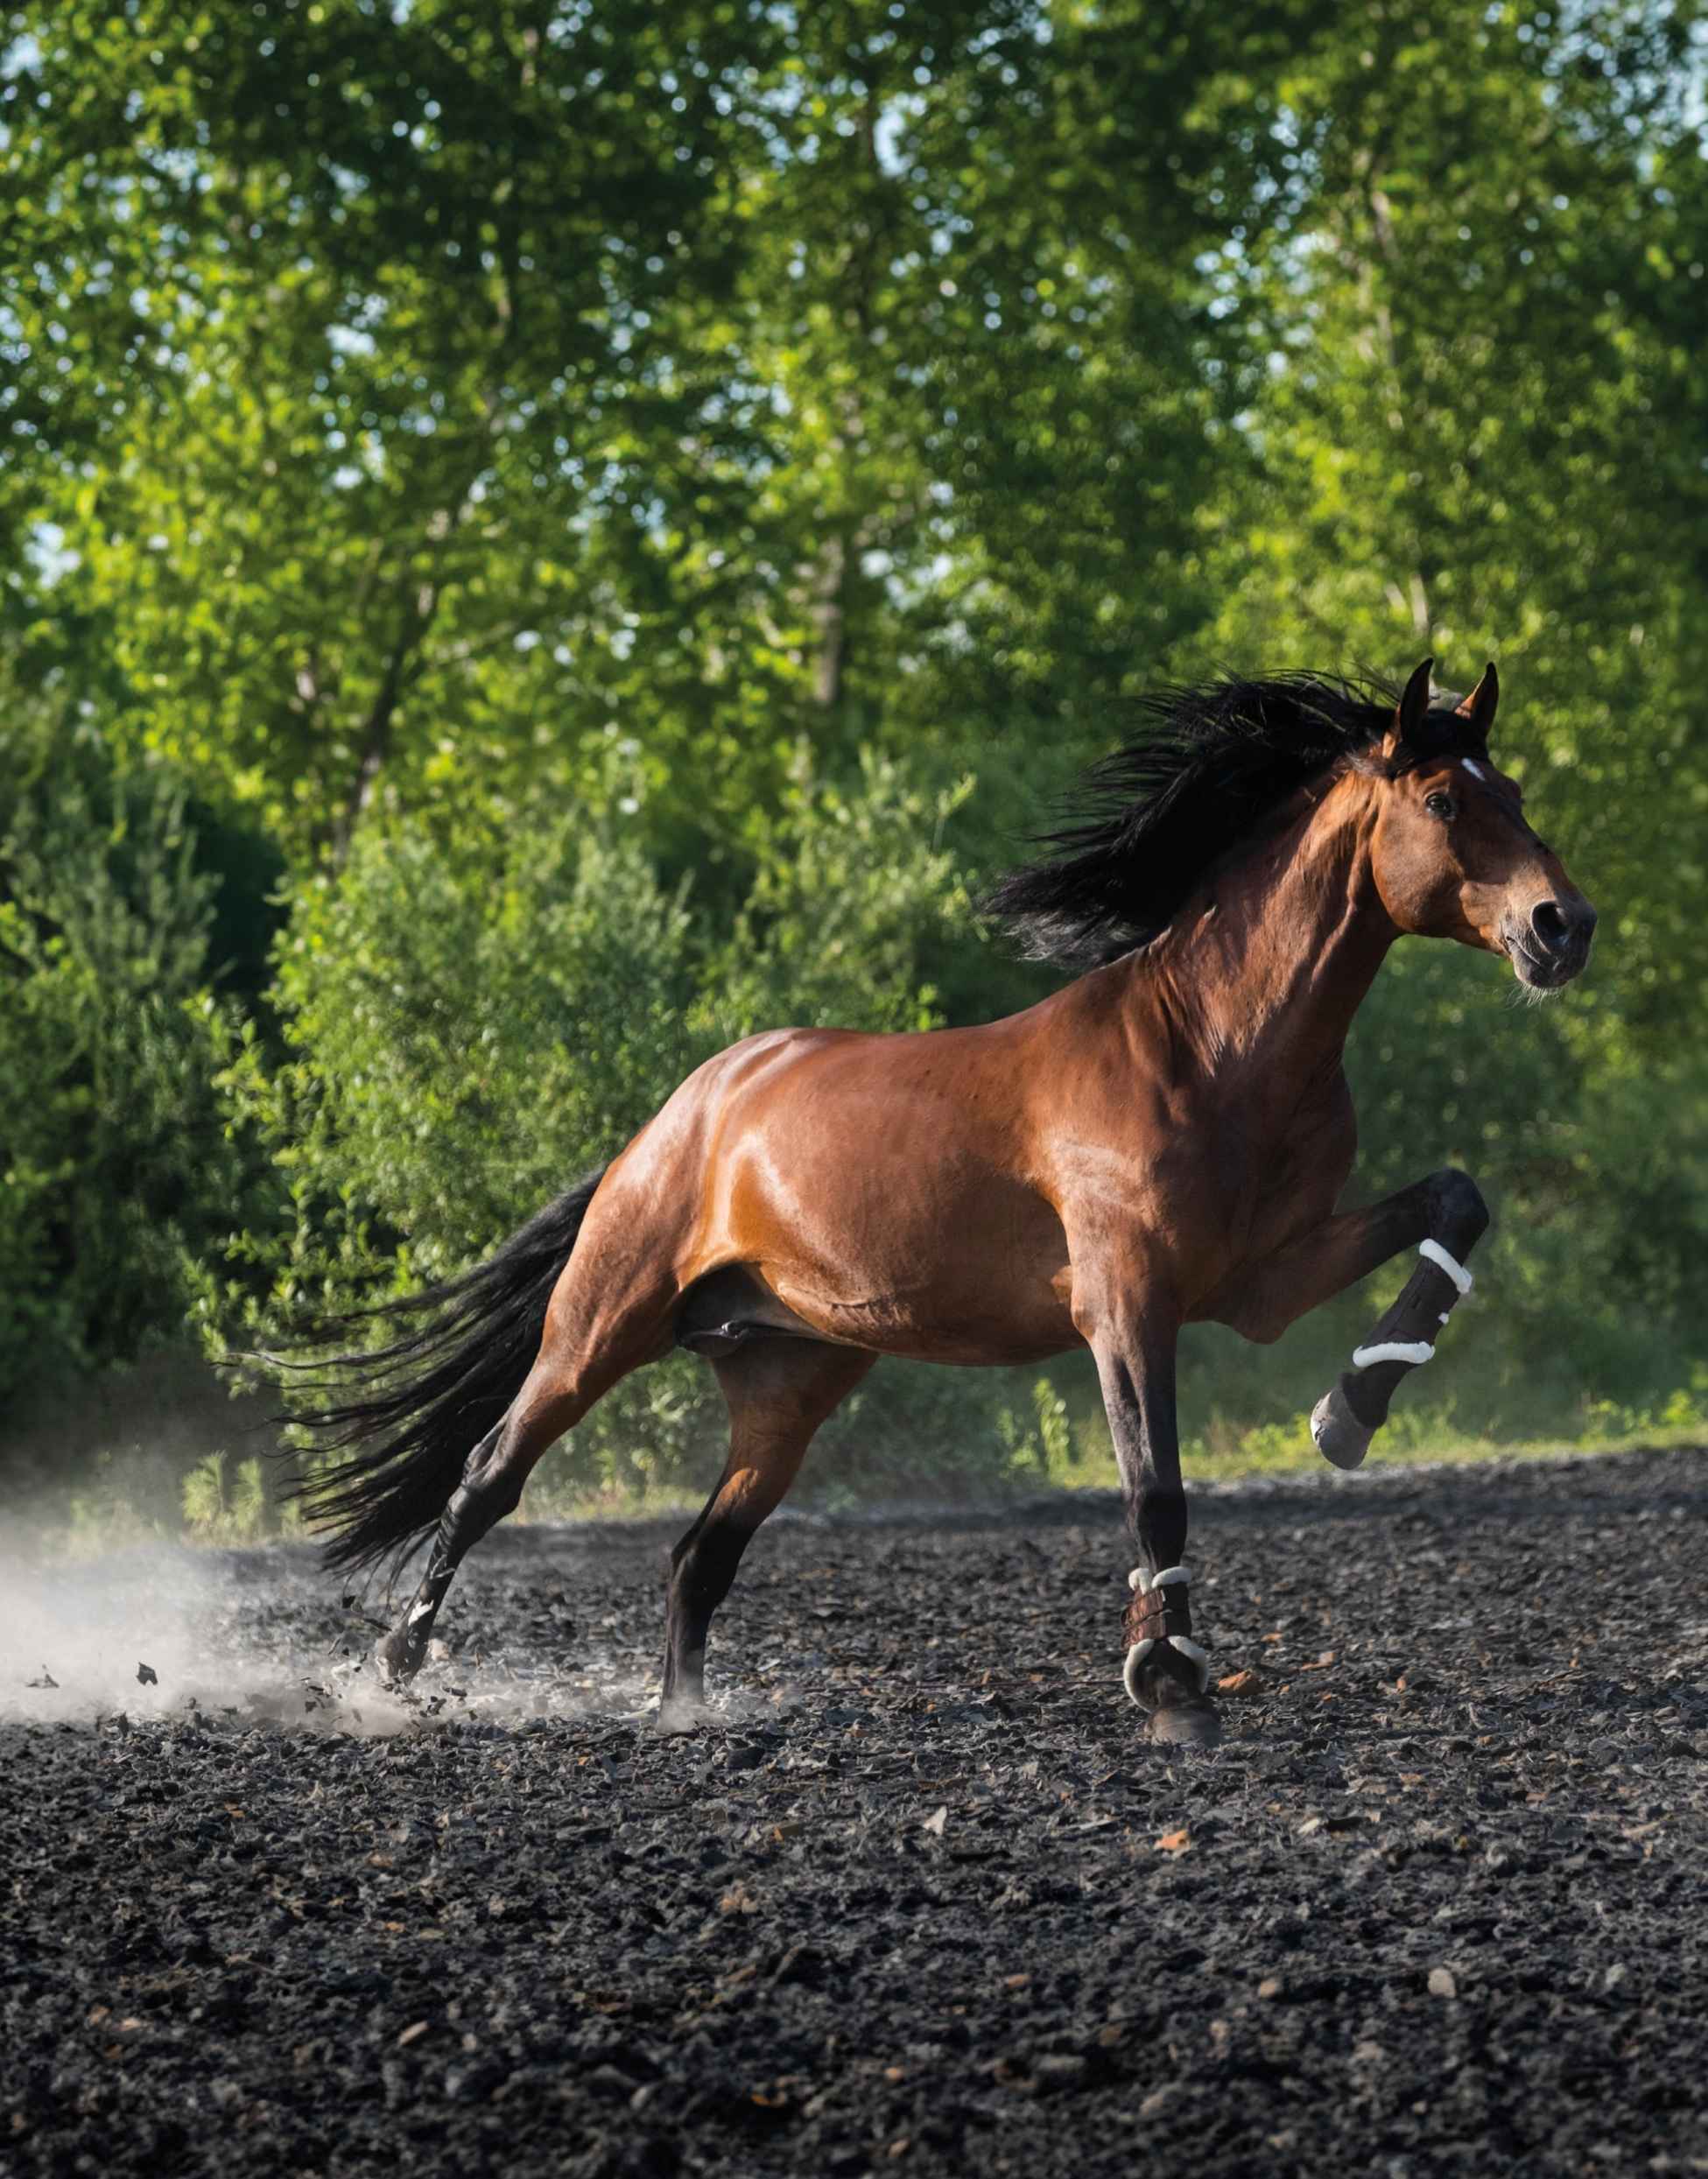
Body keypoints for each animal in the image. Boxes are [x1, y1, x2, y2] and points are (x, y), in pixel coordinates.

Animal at [282, 658, 1596, 1746]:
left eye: (1515, 788)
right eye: (1444, 801)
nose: (1561, 926)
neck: (1215, 1047)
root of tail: (677, 1114)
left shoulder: (1266, 1277)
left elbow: (1455, 1201)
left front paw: (1345, 1414)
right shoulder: (1127, 1303)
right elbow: (1153, 1488)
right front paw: (1168, 1682)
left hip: (789, 1377)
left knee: (698, 1556)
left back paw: (682, 1716)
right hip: (600, 1325)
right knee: (487, 1477)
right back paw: (392, 1671)